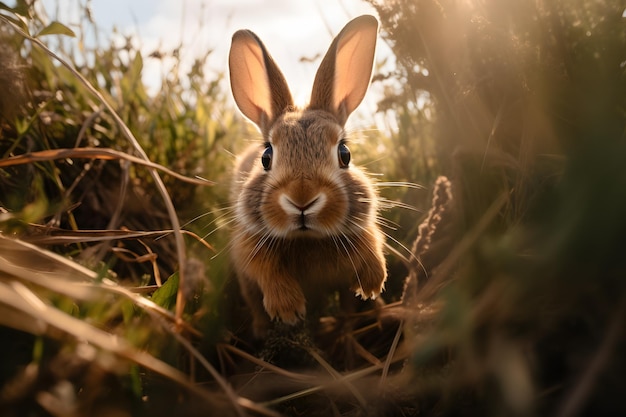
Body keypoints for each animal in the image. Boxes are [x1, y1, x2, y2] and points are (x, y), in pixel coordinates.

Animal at [229, 14, 386, 336]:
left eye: (344, 154)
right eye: (266, 157)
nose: (302, 200)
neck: (308, 239)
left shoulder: (364, 232)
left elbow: (372, 245)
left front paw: (372, 285)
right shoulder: (248, 247)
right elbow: (266, 270)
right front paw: (288, 310)